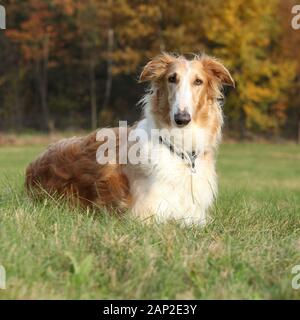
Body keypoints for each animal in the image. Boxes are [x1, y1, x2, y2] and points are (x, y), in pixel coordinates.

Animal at [25, 52, 233, 225]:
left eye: (198, 81)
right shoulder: (144, 215)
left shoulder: (196, 216)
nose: (181, 118)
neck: (179, 149)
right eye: (172, 78)